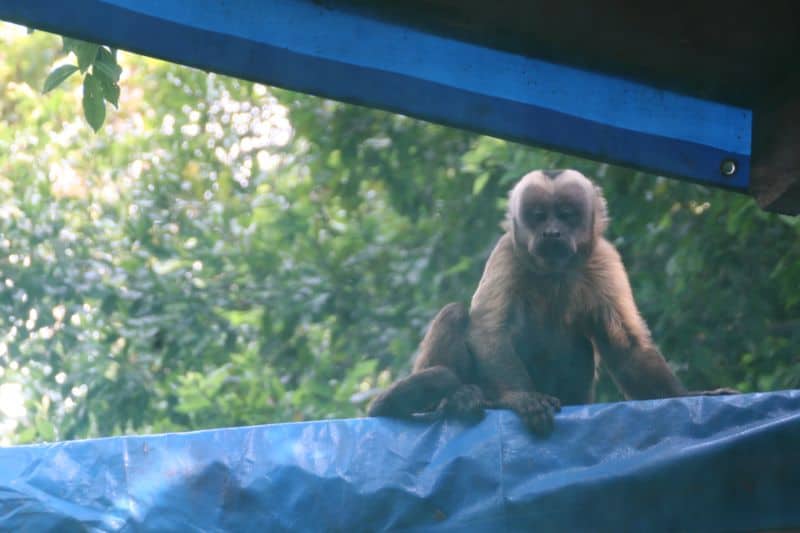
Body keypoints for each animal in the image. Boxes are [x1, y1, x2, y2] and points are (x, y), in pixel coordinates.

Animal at [370, 168, 736, 434]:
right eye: (538, 215)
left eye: (565, 214)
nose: (551, 232)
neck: (553, 271)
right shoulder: (508, 252)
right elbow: (488, 329)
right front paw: (522, 398)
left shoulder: (603, 258)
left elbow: (626, 345)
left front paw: (689, 397)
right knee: (456, 314)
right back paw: (453, 400)